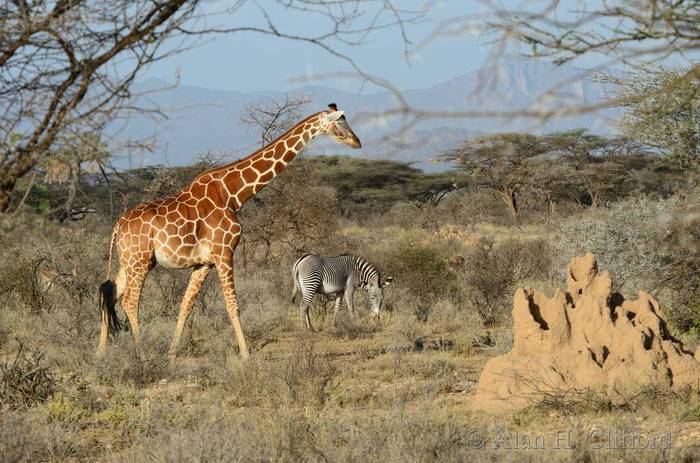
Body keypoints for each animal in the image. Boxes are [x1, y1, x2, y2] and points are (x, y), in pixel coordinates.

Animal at [97, 103, 361, 359]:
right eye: (340, 123)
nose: (357, 142)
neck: (232, 195)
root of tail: (117, 225)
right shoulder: (224, 252)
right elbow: (233, 304)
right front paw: (246, 356)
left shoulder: (203, 263)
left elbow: (186, 306)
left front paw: (171, 356)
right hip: (140, 260)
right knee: (130, 301)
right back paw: (141, 356)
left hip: (129, 261)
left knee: (110, 293)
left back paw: (100, 356)